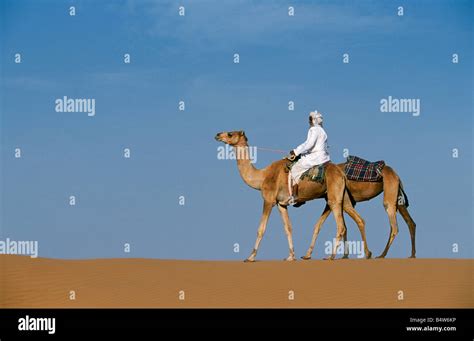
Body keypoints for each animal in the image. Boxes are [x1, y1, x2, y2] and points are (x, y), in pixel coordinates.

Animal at [214, 130, 370, 260]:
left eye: (230, 133)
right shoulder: (281, 204)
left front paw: (250, 257)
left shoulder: (268, 200)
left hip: (334, 196)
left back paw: (331, 256)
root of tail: (341, 173)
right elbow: (288, 228)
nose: (217, 135)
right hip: (342, 196)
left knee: (341, 226)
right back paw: (366, 254)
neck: (262, 177)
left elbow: (261, 229)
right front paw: (291, 256)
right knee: (358, 219)